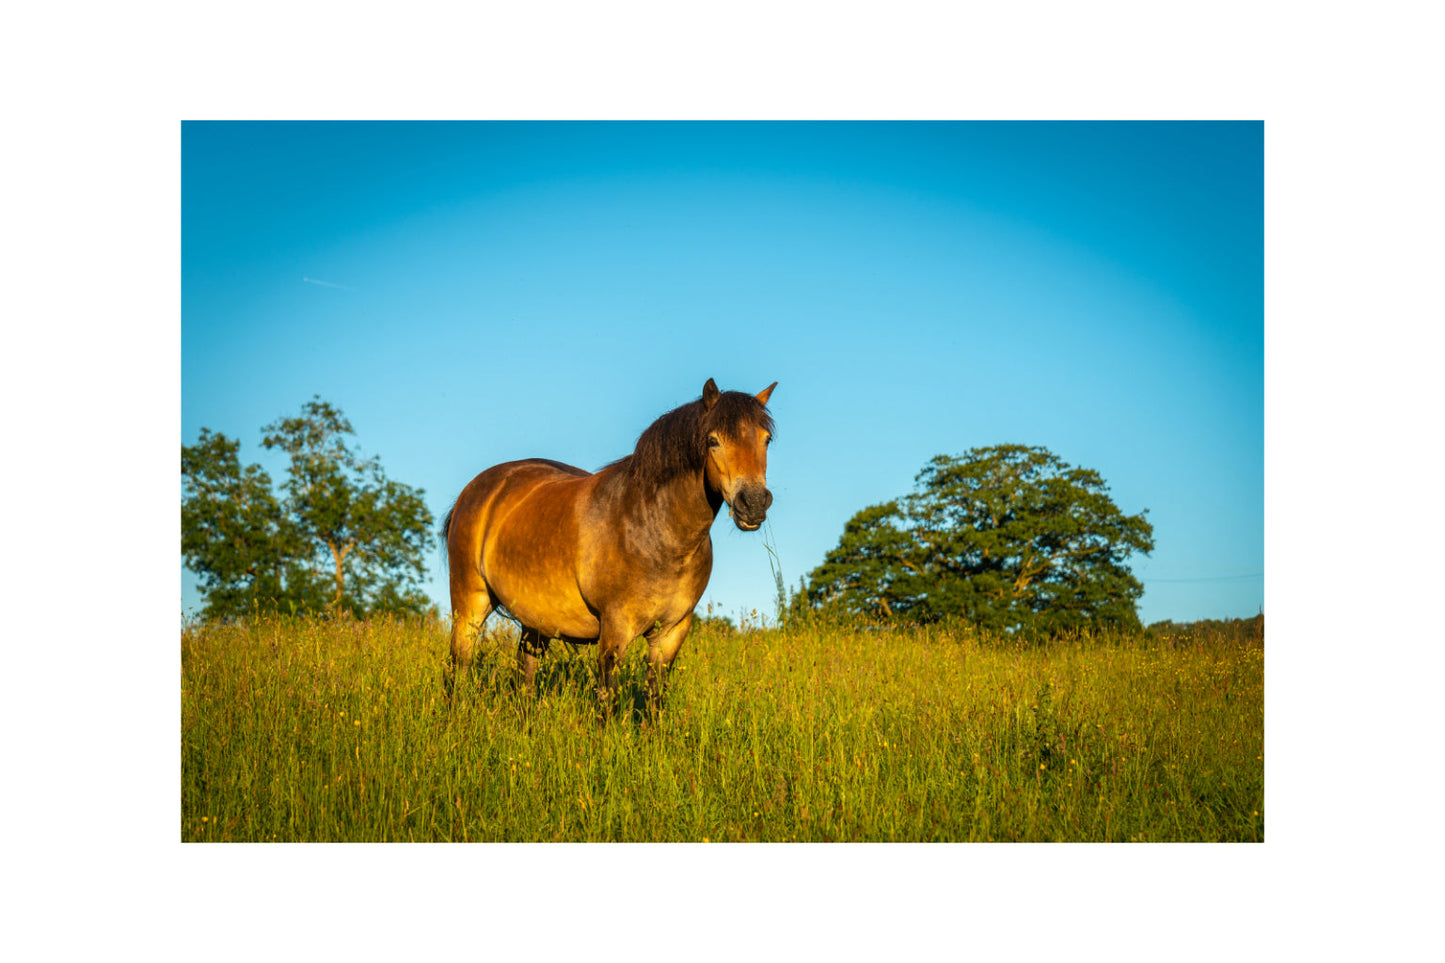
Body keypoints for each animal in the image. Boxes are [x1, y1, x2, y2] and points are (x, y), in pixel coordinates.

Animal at [442, 378, 774, 708]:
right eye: (713, 441)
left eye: (766, 439)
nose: (754, 503)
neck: (655, 530)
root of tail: (477, 489)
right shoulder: (615, 628)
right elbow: (608, 699)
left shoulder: (671, 632)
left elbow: (655, 698)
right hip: (470, 604)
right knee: (458, 667)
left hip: (534, 620)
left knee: (526, 677)